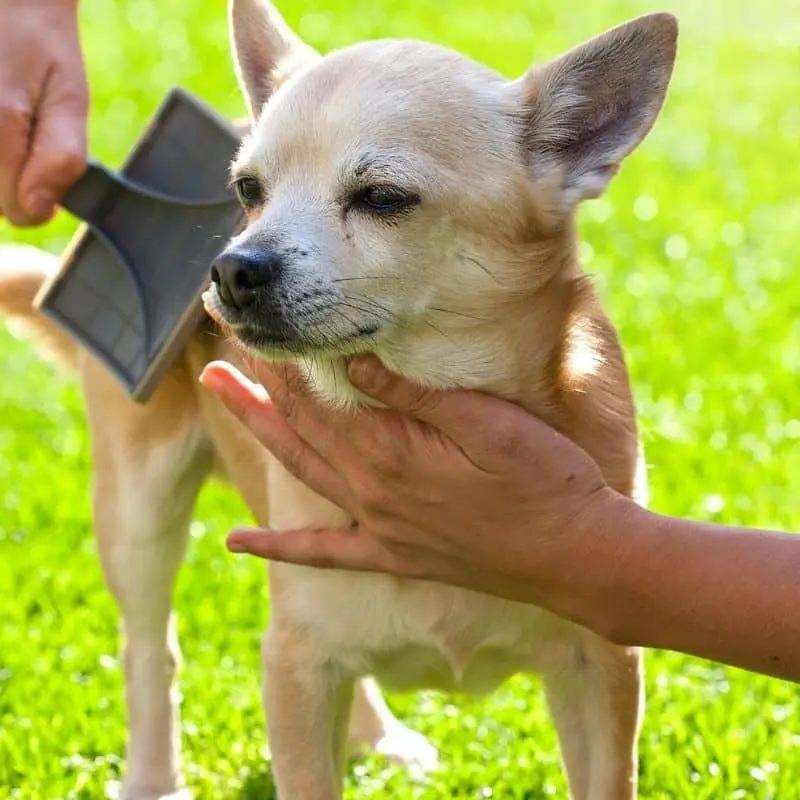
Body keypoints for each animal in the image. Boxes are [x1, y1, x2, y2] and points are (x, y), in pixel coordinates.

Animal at [200, 1, 676, 800]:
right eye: (247, 192)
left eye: (383, 199)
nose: (233, 268)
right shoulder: (295, 668)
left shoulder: (600, 668)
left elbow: (606, 778)